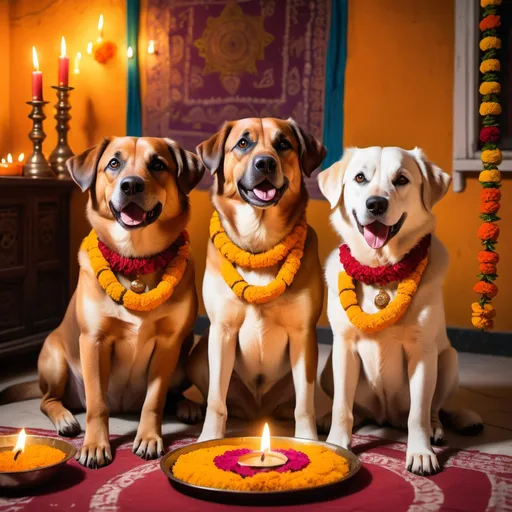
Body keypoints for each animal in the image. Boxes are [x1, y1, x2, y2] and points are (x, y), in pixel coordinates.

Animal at [0, 136, 204, 468]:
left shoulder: (169, 343)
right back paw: (65, 418)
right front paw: (95, 445)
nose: (131, 185)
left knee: (172, 395)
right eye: (114, 163)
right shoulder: (93, 342)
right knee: (48, 400)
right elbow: (97, 404)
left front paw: (149, 437)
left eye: (158, 164)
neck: (136, 260)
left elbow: (155, 400)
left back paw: (186, 406)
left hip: (186, 353)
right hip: (55, 359)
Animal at [180, 117, 324, 440]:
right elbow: (216, 400)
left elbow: (305, 403)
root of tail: (258, 412)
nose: (265, 163)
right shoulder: (221, 331)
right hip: (200, 353)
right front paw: (209, 438)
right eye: (243, 143)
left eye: (283, 144)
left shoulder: (304, 335)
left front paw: (308, 439)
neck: (259, 244)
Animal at [318, 147, 482, 476]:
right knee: (356, 408)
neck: (382, 271)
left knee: (434, 409)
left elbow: (417, 413)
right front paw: (337, 444)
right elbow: (343, 407)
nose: (376, 203)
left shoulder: (422, 352)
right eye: (360, 178)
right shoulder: (343, 347)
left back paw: (436, 430)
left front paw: (420, 452)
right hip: (328, 369)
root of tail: (385, 416)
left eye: (402, 179)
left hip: (447, 360)